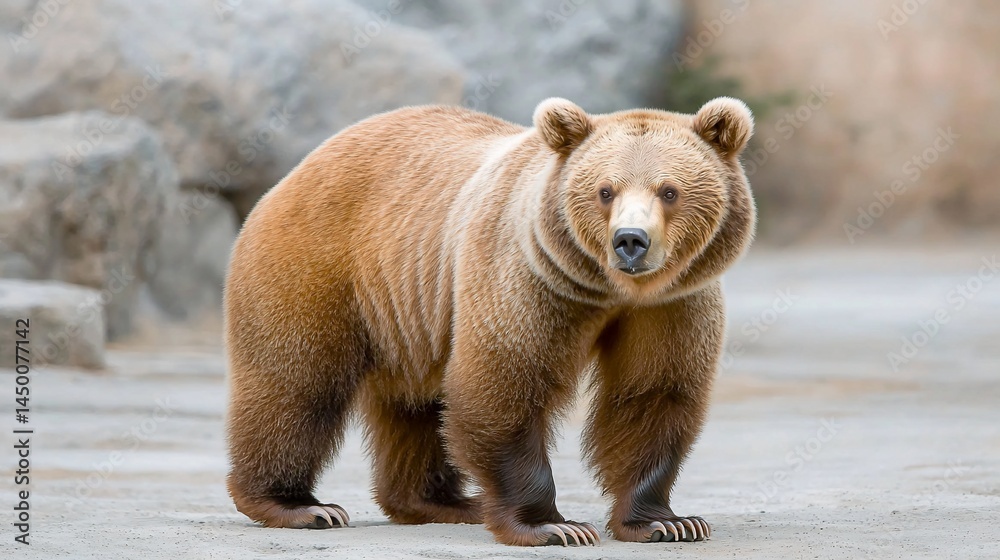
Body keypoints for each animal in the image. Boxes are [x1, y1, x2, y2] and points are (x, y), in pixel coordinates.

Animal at [224, 96, 755, 546]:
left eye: (669, 190)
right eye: (605, 190)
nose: (630, 240)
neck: (609, 290)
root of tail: (301, 166)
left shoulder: (672, 303)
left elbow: (653, 393)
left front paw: (667, 521)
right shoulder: (525, 277)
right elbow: (503, 385)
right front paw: (553, 526)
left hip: (410, 312)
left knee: (416, 405)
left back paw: (444, 501)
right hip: (320, 264)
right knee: (297, 382)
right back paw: (301, 505)